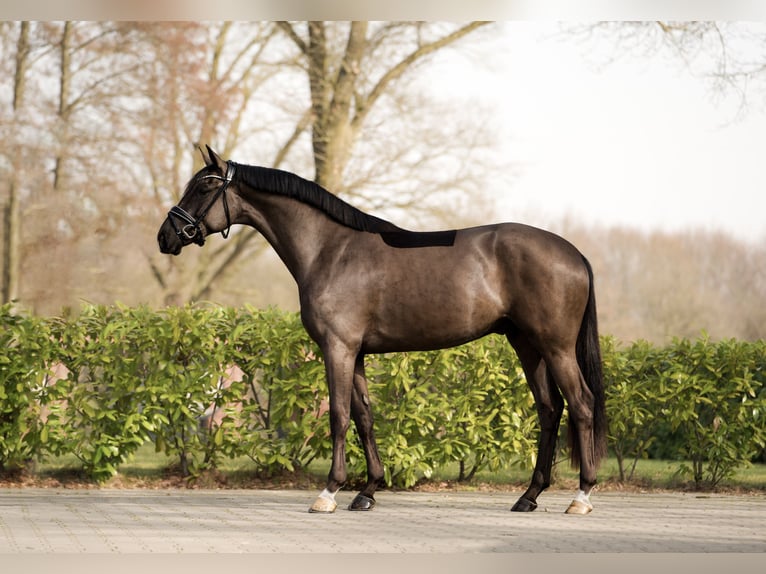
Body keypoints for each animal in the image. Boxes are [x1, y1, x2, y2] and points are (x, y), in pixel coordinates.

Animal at [158, 146, 608, 515]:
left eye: (204, 186)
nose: (166, 237)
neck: (331, 250)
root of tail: (574, 253)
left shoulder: (337, 348)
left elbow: (339, 415)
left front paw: (329, 492)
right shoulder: (355, 352)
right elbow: (364, 416)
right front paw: (367, 491)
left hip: (556, 347)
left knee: (581, 405)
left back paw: (581, 496)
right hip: (527, 344)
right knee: (550, 410)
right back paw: (529, 496)